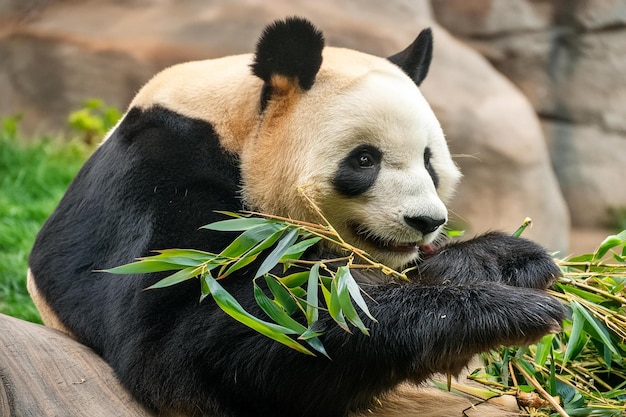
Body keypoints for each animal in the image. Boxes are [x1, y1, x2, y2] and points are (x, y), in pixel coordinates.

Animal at [29, 16, 564, 416]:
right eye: (365, 160)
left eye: (430, 161)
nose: (426, 221)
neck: (237, 125)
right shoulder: (161, 173)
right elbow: (183, 337)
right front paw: (508, 311)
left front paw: (510, 259)